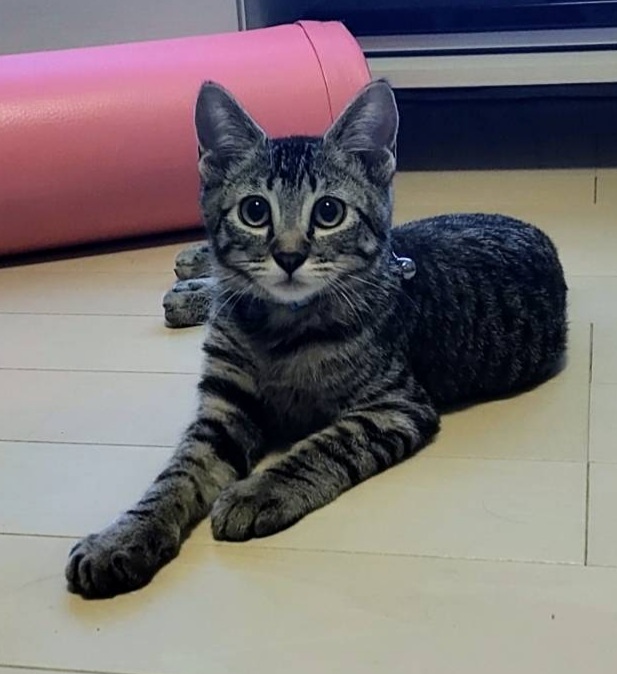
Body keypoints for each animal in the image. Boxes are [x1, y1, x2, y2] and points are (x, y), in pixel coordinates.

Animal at [66, 79, 567, 599]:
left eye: (329, 211)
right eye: (254, 211)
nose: (288, 256)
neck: (277, 327)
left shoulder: (394, 406)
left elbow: (324, 445)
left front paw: (257, 491)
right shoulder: (224, 404)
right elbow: (178, 473)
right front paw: (124, 535)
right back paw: (195, 271)